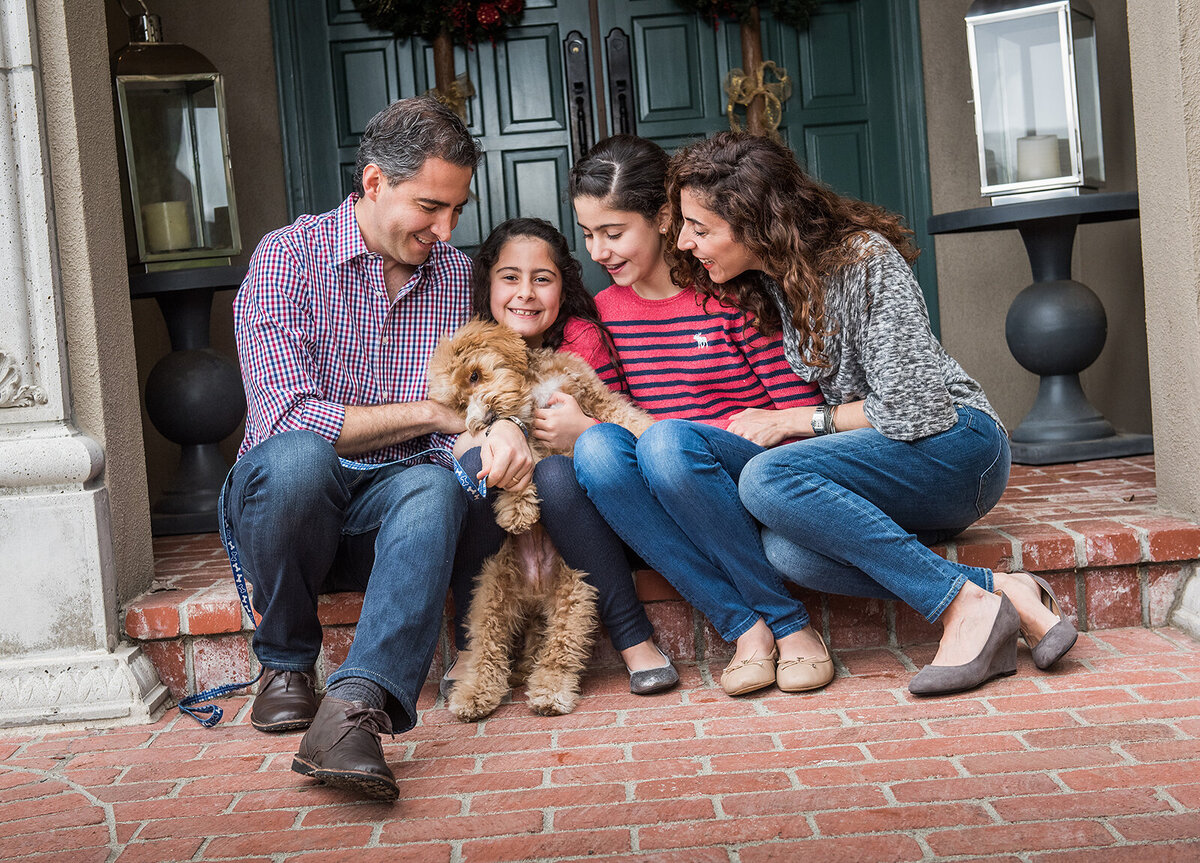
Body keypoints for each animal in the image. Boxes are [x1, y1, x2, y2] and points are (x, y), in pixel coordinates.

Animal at [427, 321, 657, 720]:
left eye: (474, 375)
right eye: (459, 405)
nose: (483, 421)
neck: (534, 386)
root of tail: (534, 594)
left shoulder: (592, 393)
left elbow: (628, 416)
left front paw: (656, 430)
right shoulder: (527, 434)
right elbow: (521, 461)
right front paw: (518, 510)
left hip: (575, 593)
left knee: (555, 648)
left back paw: (541, 686)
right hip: (492, 598)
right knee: (492, 651)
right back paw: (482, 695)